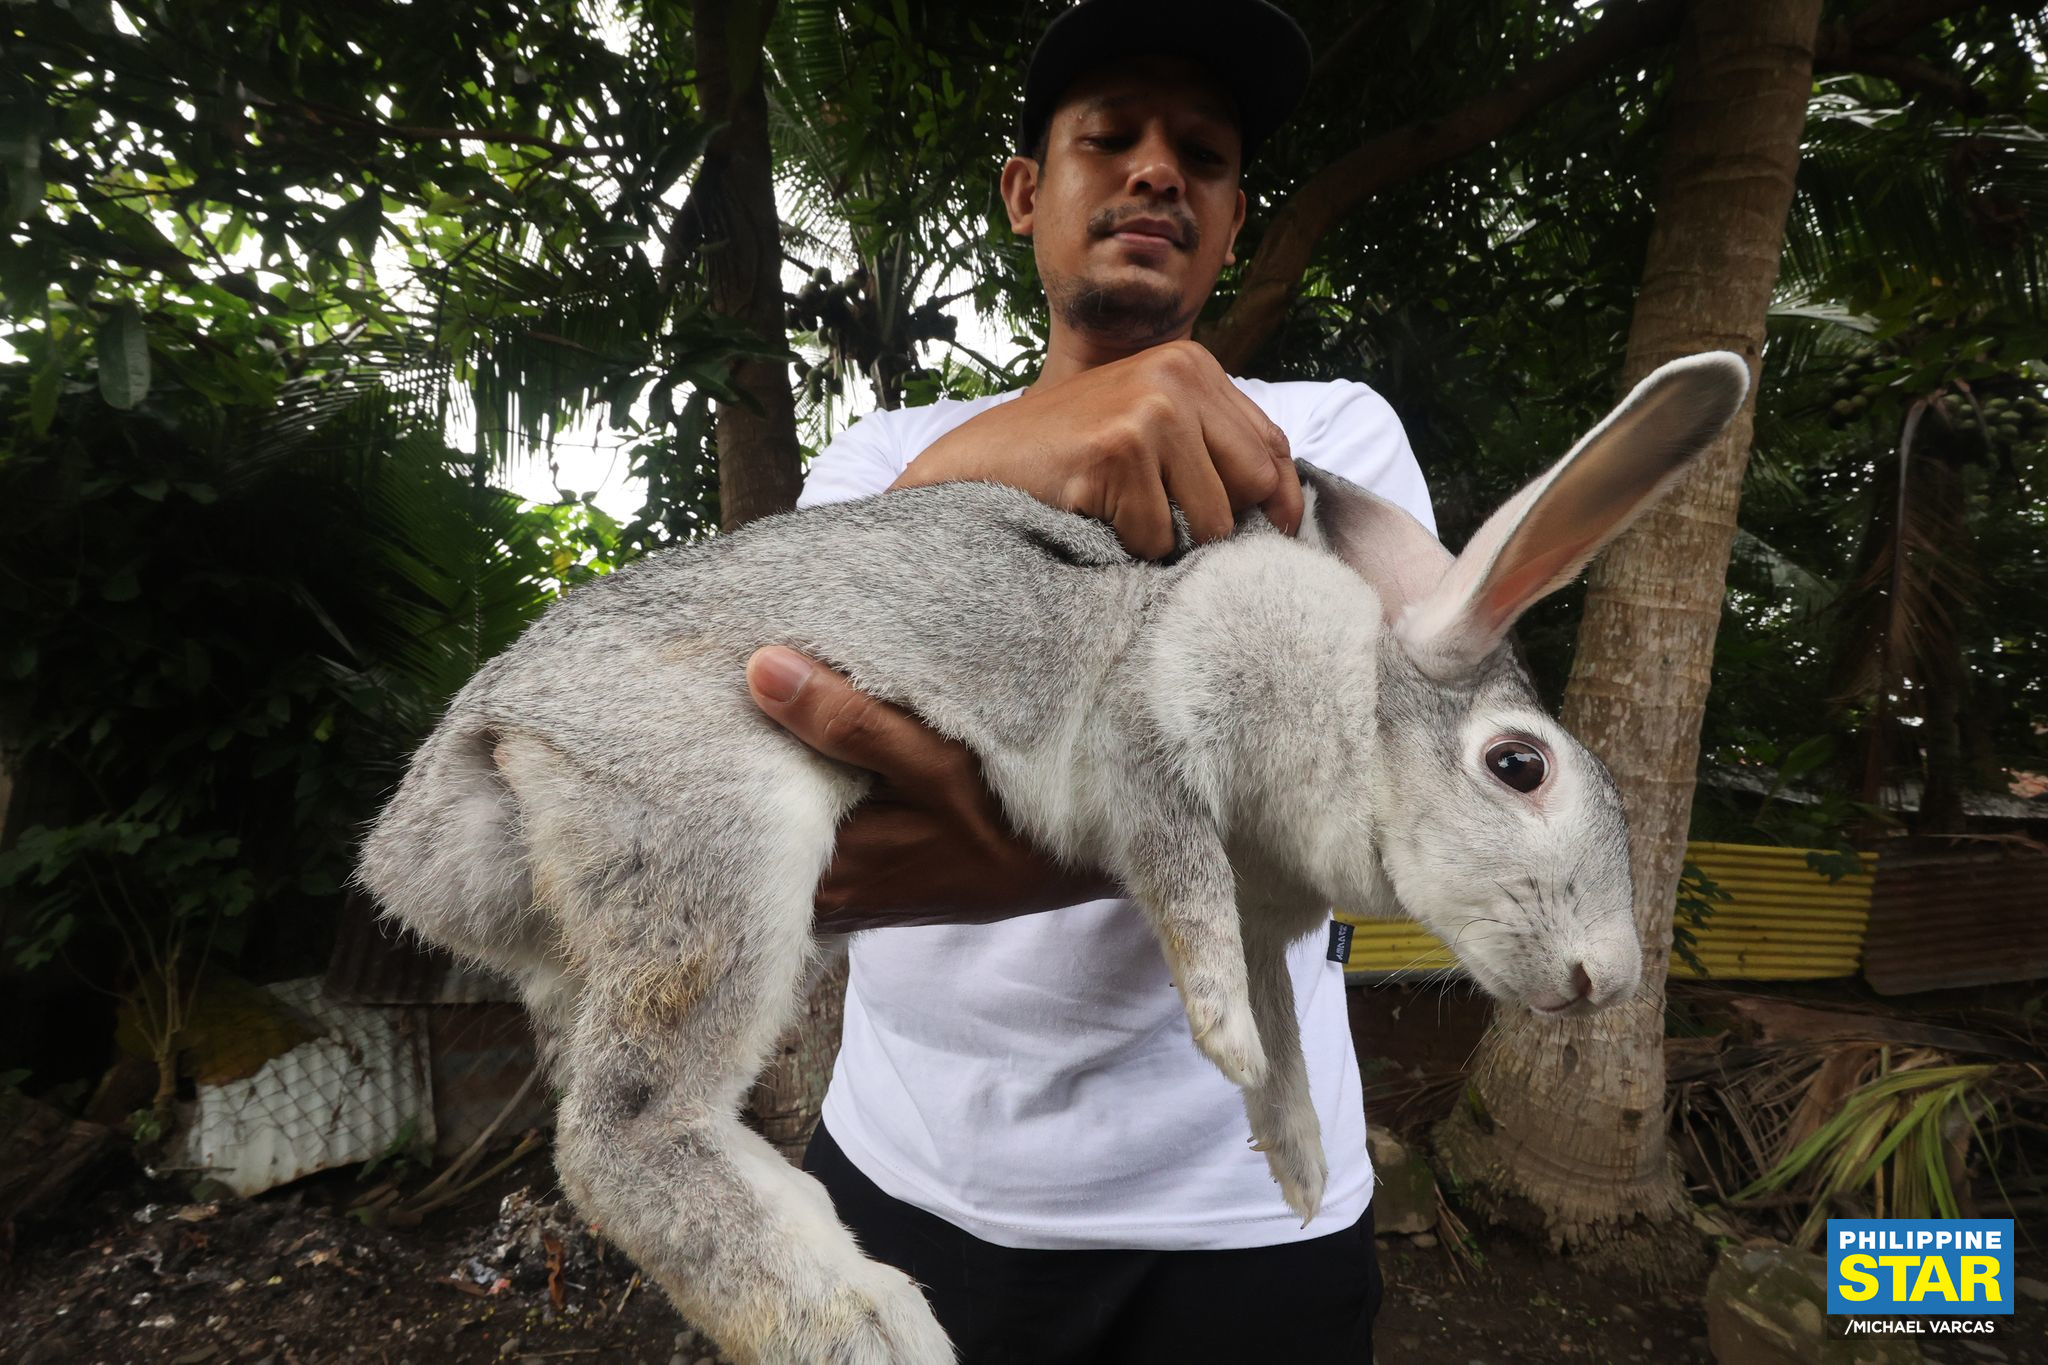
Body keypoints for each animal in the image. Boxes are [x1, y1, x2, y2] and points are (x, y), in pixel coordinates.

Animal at [356, 351, 1750, 1365]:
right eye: (1517, 767)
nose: (1606, 982)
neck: (1353, 697)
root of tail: (455, 781)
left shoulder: (1266, 907)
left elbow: (1285, 1034)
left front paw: (1297, 1167)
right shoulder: (1156, 733)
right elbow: (1183, 890)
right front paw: (1221, 1038)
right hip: (718, 829)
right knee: (625, 1130)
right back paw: (872, 1328)